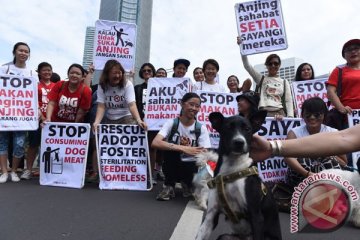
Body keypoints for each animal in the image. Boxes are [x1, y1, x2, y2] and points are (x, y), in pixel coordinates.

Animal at [195, 112, 282, 240]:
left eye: (247, 129)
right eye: (228, 128)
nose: (239, 142)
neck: (231, 171)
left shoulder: (256, 216)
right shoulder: (211, 216)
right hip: (225, 237)